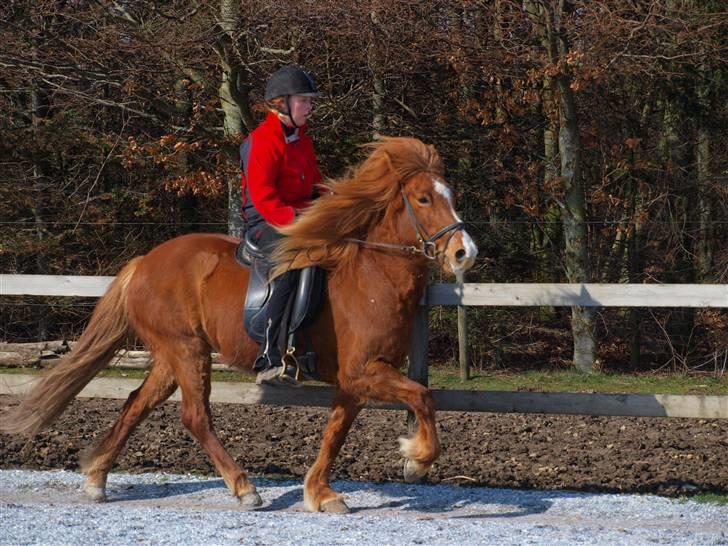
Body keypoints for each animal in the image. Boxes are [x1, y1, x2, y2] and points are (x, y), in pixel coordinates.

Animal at [1, 135, 478, 510]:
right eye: (423, 199)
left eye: (450, 195)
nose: (464, 253)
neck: (371, 275)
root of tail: (144, 263)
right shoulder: (365, 372)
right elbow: (424, 397)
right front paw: (416, 459)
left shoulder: (356, 380)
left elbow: (336, 432)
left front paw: (320, 493)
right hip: (188, 350)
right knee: (195, 416)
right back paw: (245, 488)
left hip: (172, 354)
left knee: (136, 403)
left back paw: (97, 479)